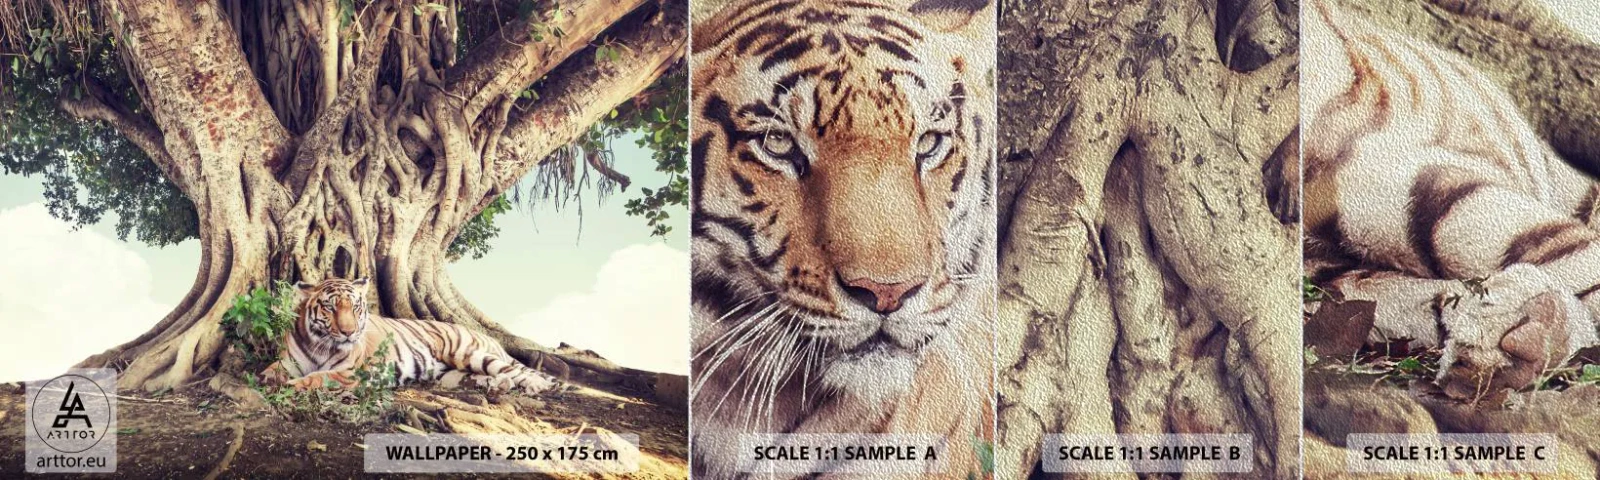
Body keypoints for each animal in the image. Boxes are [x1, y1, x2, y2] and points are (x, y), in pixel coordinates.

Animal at [259, 277, 559, 395]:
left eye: (355, 307)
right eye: (330, 307)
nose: (349, 332)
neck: (319, 345)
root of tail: (491, 337)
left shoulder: (349, 372)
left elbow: (317, 378)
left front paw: (291, 385)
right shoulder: (288, 362)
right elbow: (271, 371)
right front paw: (265, 379)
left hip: (468, 352)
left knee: (515, 370)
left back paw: (536, 386)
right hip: (455, 371)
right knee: (496, 375)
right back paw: (496, 386)